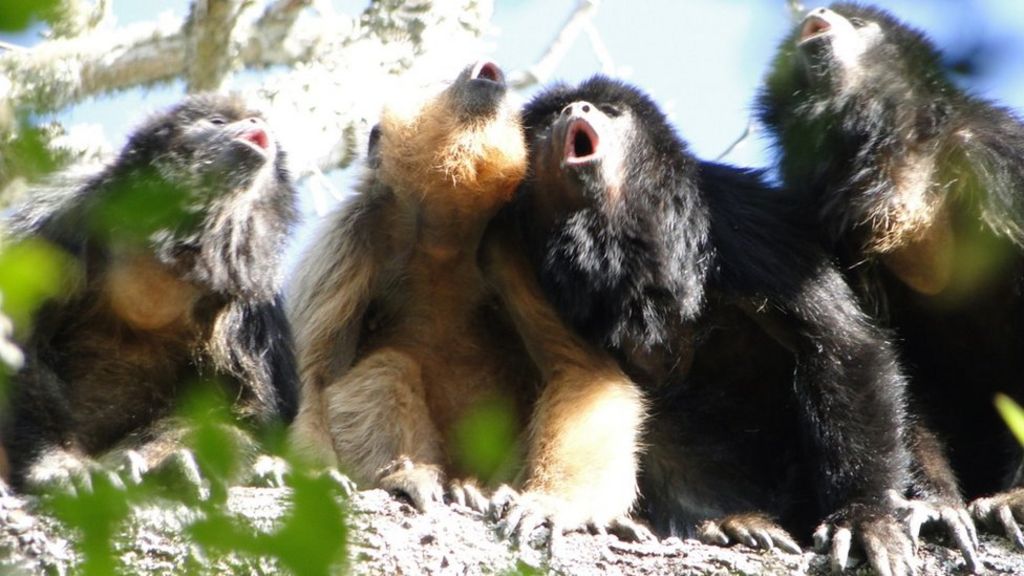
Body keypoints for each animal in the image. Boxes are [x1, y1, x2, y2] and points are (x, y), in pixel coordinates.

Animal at [2, 93, 299, 495]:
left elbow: (238, 408)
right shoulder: (58, 222)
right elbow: (20, 345)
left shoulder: (251, 295)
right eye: (218, 122)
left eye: (254, 119)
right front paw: (57, 464)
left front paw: (170, 462)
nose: (255, 121)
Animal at [287, 62, 653, 542]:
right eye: (439, 82)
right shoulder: (352, 236)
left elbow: (584, 374)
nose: (476, 69)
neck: (445, 237)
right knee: (385, 368)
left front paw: (555, 504)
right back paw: (413, 477)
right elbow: (315, 377)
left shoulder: (513, 243)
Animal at [492, 74, 986, 575]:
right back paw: (733, 523)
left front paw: (867, 516)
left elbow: (840, 342)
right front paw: (559, 505)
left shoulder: (737, 218)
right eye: (555, 115)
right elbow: (587, 379)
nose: (579, 108)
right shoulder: (517, 245)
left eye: (611, 112)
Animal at [759, 2, 1024, 551]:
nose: (817, 11)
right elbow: (882, 361)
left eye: (860, 23)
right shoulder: (819, 222)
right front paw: (938, 503)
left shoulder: (1001, 159)